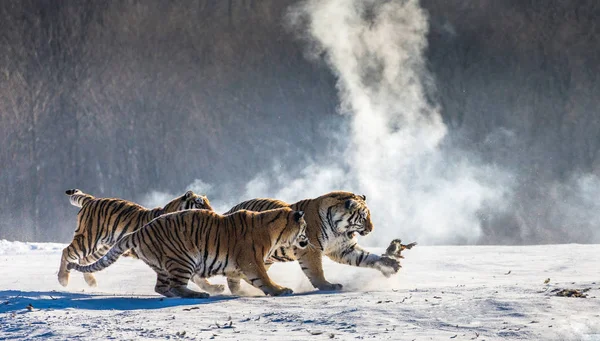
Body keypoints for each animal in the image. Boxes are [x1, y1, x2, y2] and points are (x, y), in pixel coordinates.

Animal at [56, 189, 219, 292]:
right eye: (199, 203)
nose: (212, 212)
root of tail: (92, 199)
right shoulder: (180, 254)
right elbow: (195, 276)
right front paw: (215, 289)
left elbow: (198, 277)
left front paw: (215, 288)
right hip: (88, 239)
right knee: (67, 251)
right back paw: (63, 280)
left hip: (102, 247)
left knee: (84, 260)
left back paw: (91, 281)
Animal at [67, 206, 308, 296]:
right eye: (305, 228)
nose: (306, 241)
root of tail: (139, 231)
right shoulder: (252, 261)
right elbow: (263, 278)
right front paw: (280, 290)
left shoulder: (240, 266)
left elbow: (239, 281)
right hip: (183, 259)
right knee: (176, 286)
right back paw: (199, 294)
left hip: (164, 265)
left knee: (162, 287)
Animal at [221, 191, 404, 292]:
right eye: (364, 217)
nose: (372, 228)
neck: (338, 230)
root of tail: (228, 211)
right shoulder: (310, 249)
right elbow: (316, 270)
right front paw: (327, 286)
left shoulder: (344, 249)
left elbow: (367, 257)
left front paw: (389, 264)